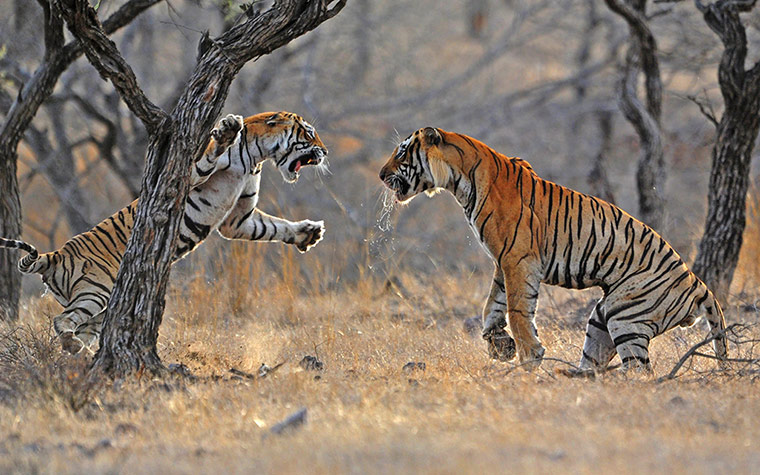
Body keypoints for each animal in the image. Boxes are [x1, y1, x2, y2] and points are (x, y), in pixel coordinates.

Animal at [0, 111, 328, 355]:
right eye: (309, 132)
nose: (325, 151)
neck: (256, 159)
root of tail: (55, 254)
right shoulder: (189, 174)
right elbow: (210, 157)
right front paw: (227, 129)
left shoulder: (238, 220)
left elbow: (272, 226)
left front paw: (308, 233)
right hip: (95, 290)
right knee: (61, 320)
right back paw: (73, 347)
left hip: (99, 305)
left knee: (80, 327)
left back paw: (81, 355)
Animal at [379, 127, 728, 373]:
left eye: (402, 153)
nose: (381, 175)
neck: (460, 181)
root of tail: (699, 284)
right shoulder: (502, 261)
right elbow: (492, 306)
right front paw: (500, 345)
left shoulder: (518, 259)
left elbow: (517, 310)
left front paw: (527, 357)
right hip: (603, 318)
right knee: (598, 361)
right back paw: (573, 378)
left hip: (625, 316)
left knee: (640, 374)